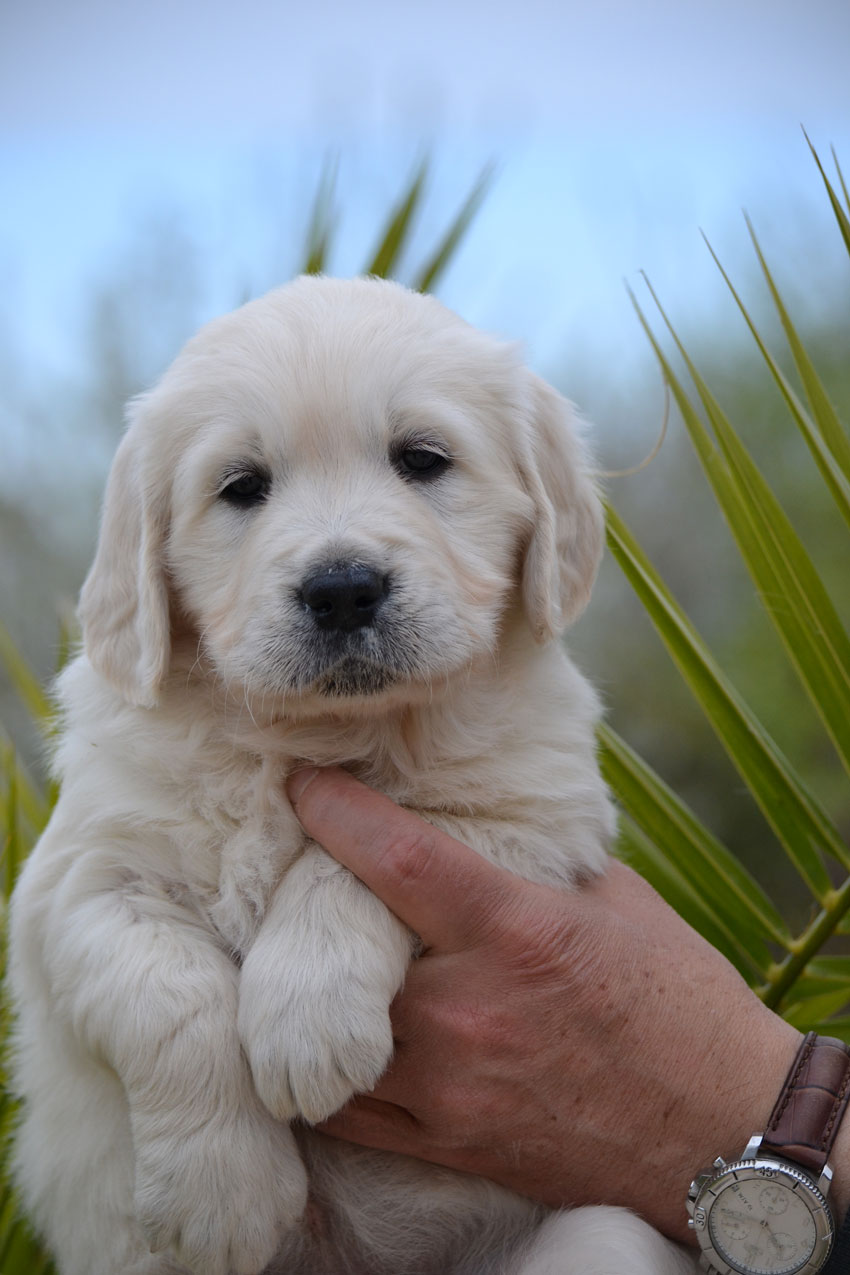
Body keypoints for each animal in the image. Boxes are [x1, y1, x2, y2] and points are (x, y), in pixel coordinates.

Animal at [6, 279, 693, 1275]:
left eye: (423, 460)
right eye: (241, 486)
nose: (341, 589)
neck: (315, 735)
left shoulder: (530, 814)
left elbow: (359, 856)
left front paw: (305, 1017)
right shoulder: (83, 879)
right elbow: (170, 991)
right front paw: (222, 1194)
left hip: (602, 1236)